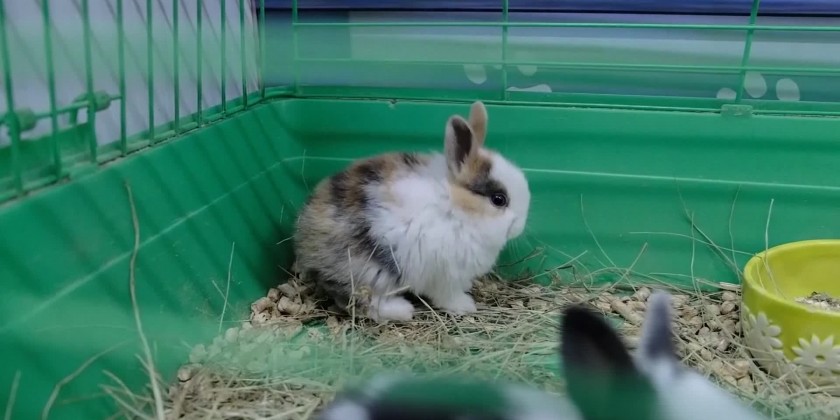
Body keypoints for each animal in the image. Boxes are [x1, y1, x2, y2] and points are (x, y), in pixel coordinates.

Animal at [293, 101, 531, 322]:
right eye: (499, 199)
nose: (520, 227)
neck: (456, 208)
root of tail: (305, 241)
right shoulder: (443, 277)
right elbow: (448, 296)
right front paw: (465, 306)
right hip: (369, 272)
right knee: (356, 300)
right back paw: (403, 310)